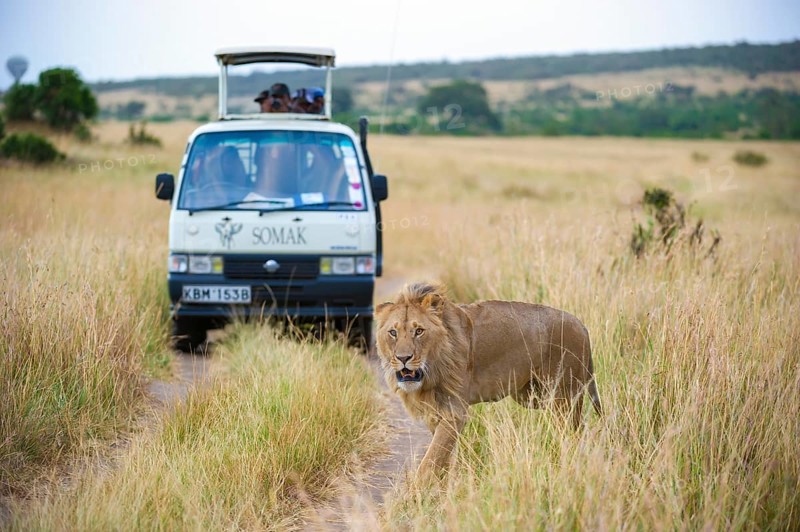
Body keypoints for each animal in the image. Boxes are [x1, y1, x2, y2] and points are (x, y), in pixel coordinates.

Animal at [375, 282, 602, 476]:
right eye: (393, 332)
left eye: (419, 331)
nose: (403, 358)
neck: (431, 372)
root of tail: (581, 325)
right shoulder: (436, 412)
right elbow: (445, 458)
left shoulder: (454, 411)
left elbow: (430, 461)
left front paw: (415, 494)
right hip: (535, 397)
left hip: (563, 398)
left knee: (574, 433)